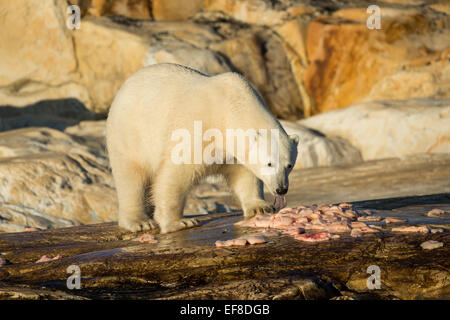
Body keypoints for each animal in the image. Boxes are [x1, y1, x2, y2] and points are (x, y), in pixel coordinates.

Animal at [105, 63, 298, 232]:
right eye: (269, 163)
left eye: (289, 165)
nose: (281, 189)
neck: (230, 107)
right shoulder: (197, 129)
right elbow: (176, 173)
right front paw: (179, 222)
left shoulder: (233, 150)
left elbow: (244, 175)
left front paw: (260, 207)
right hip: (131, 134)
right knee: (131, 177)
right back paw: (140, 222)